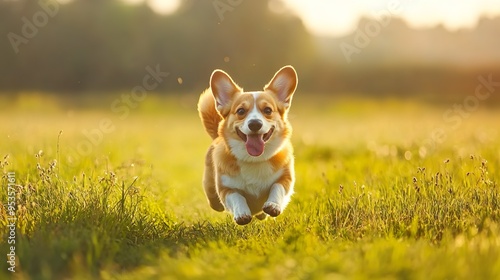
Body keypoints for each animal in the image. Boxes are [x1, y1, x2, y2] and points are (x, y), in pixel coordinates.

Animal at [196, 65, 296, 225]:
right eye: (241, 111)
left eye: (268, 110)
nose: (254, 124)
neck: (254, 160)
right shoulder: (226, 189)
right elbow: (237, 197)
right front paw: (242, 214)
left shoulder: (286, 178)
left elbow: (277, 188)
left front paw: (273, 205)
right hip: (212, 194)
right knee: (216, 203)